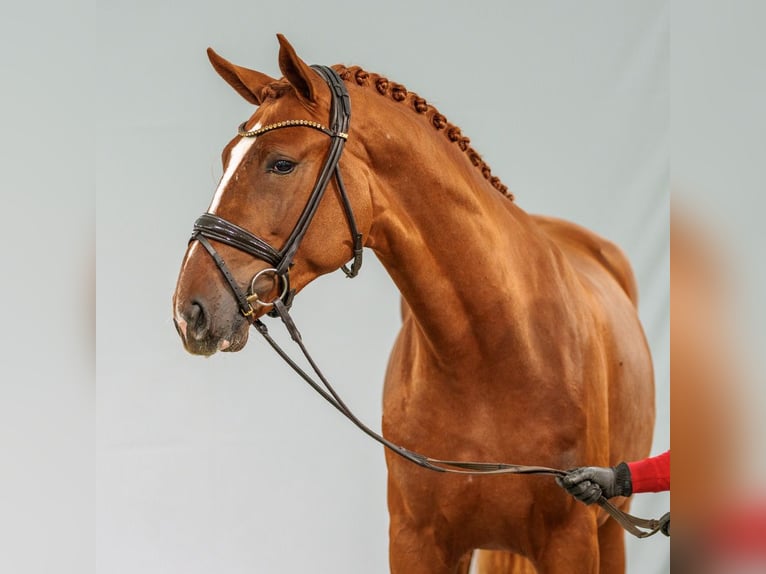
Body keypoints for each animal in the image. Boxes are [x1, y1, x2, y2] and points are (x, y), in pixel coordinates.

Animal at [172, 33, 656, 572]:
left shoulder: (571, 542)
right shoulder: (415, 542)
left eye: (281, 163)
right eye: (225, 158)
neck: (493, 352)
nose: (189, 309)